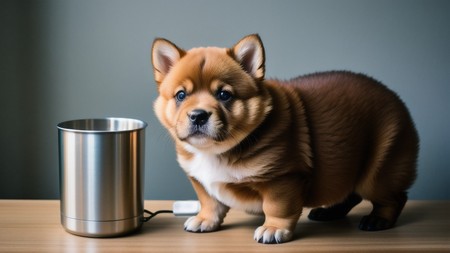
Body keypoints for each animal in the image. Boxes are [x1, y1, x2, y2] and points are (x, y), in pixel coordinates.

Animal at [151, 33, 418, 243]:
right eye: (181, 95)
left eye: (224, 95)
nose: (198, 115)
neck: (217, 150)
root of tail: (394, 98)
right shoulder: (200, 180)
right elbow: (210, 202)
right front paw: (205, 220)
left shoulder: (281, 179)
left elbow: (276, 207)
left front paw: (273, 229)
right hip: (348, 169)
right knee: (350, 193)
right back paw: (328, 212)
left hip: (378, 171)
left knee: (394, 197)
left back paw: (377, 220)